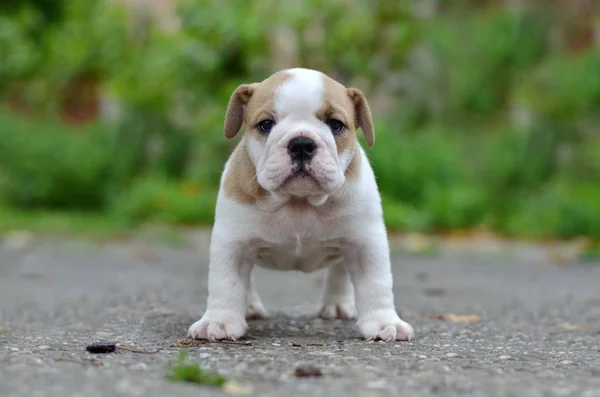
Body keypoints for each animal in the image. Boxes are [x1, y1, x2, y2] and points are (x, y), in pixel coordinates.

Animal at [188, 67, 412, 340]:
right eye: (266, 125)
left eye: (336, 124)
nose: (302, 144)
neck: (299, 202)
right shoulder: (232, 243)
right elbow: (225, 283)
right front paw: (219, 322)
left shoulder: (366, 243)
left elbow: (376, 283)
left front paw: (383, 323)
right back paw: (249, 307)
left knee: (340, 272)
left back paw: (337, 305)